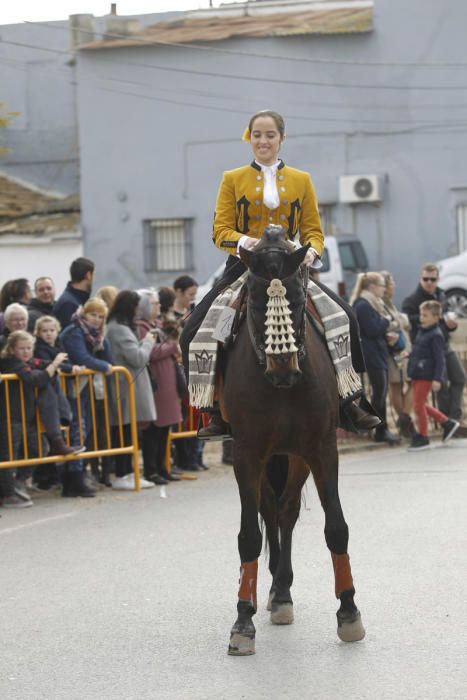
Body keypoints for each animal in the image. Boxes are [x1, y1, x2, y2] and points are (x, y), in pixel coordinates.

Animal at [223, 226, 366, 656]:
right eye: (254, 297)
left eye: (300, 297)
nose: (283, 366)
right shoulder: (247, 453)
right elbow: (249, 536)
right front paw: (243, 621)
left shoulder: (321, 448)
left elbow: (336, 527)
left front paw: (349, 612)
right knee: (270, 510)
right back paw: (270, 592)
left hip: (296, 456)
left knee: (284, 510)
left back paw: (281, 591)